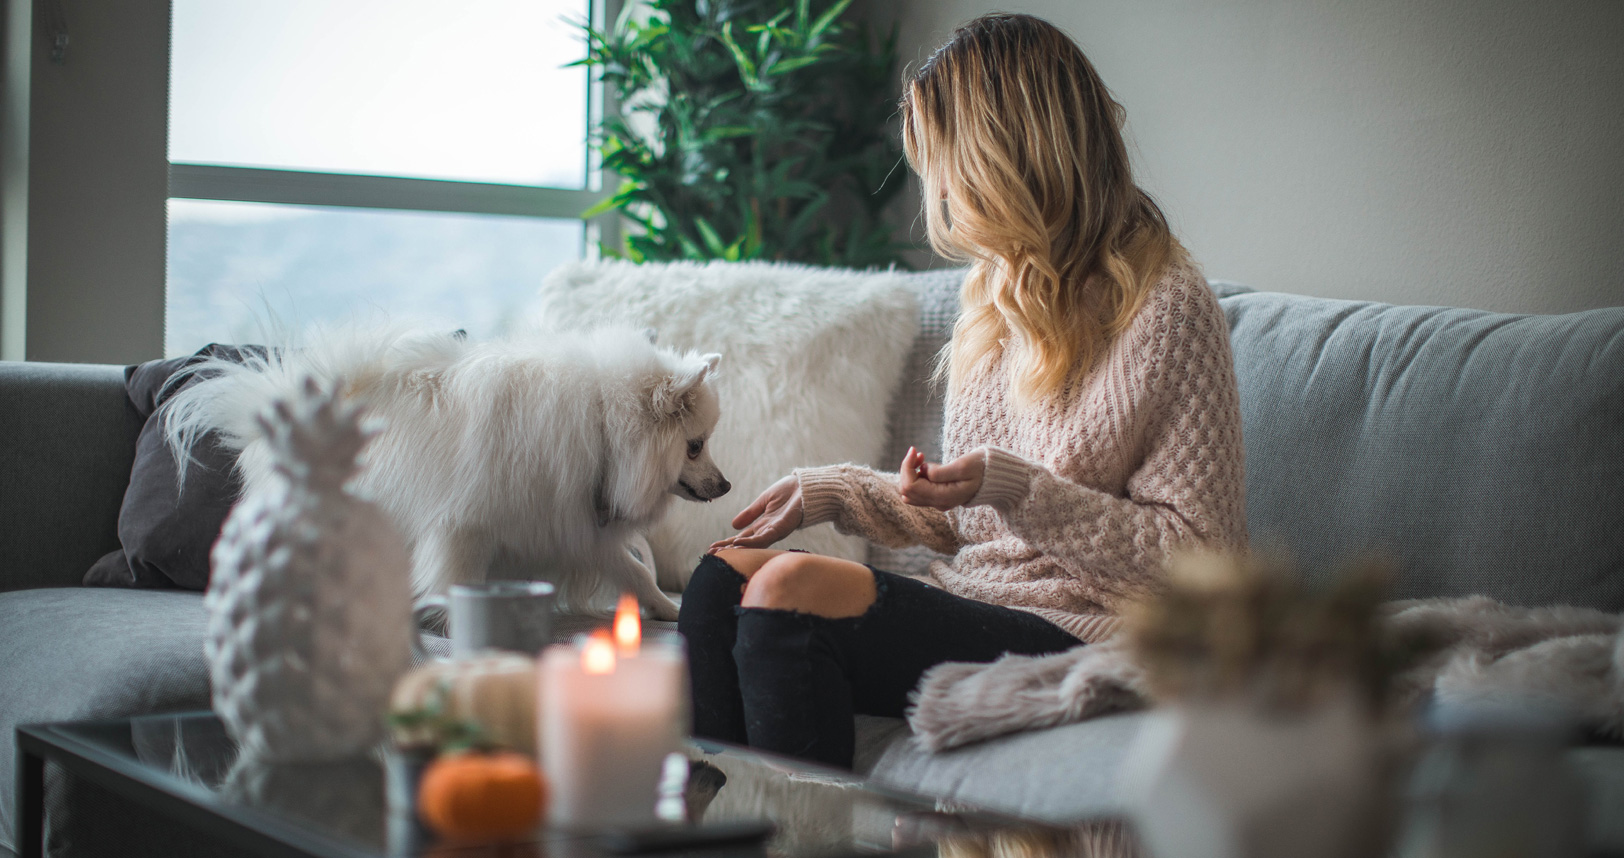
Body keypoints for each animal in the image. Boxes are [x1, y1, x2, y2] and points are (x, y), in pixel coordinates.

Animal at [163, 323, 724, 617]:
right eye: (695, 447)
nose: (727, 485)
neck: (602, 427)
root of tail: (274, 403)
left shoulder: (572, 525)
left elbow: (635, 572)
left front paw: (669, 611)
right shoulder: (464, 528)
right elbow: (456, 578)